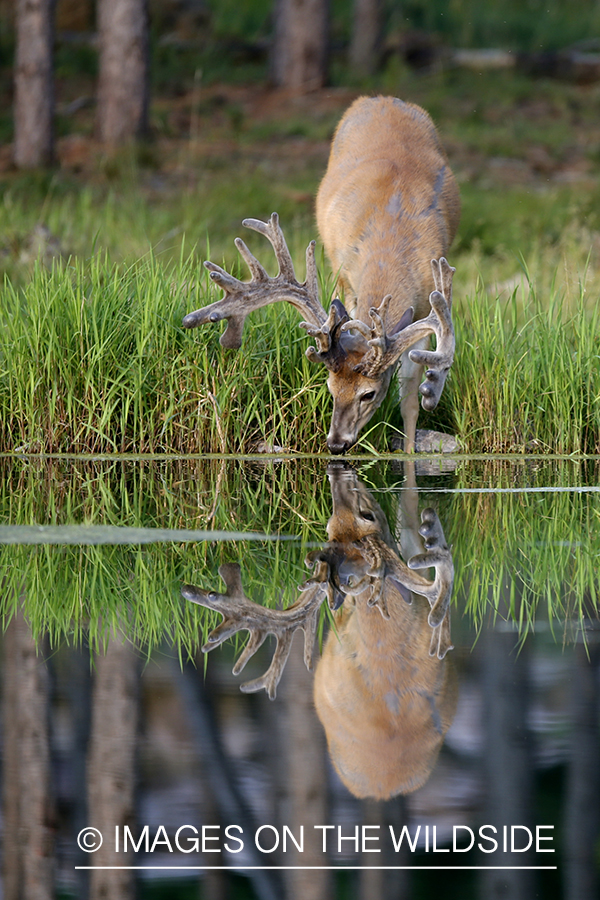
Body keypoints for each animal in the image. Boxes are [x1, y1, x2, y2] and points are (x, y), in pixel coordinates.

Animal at [183, 95, 460, 454]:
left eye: (368, 394)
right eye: (329, 388)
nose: (336, 443)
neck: (390, 243)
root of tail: (379, 98)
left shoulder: (429, 299)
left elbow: (411, 394)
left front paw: (412, 446)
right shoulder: (346, 279)